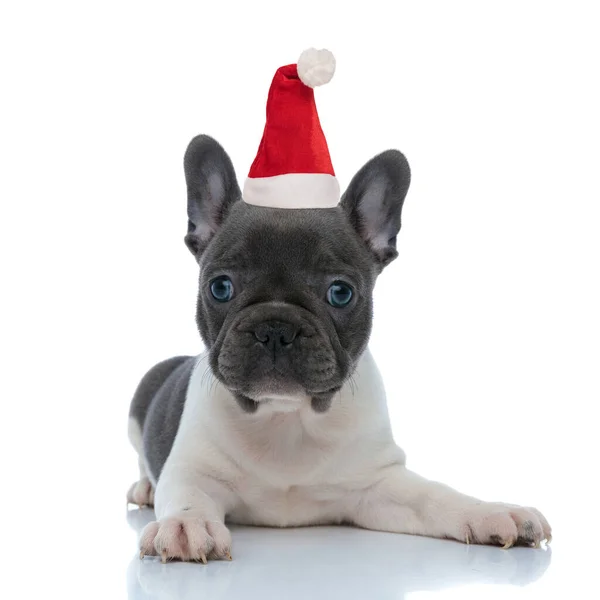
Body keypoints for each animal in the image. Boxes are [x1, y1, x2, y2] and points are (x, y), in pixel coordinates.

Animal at [129, 135, 552, 564]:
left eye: (340, 292)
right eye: (220, 287)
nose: (276, 327)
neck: (286, 418)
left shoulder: (380, 483)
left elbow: (437, 496)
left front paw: (492, 512)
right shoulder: (191, 470)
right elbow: (188, 495)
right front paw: (185, 524)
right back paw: (144, 488)